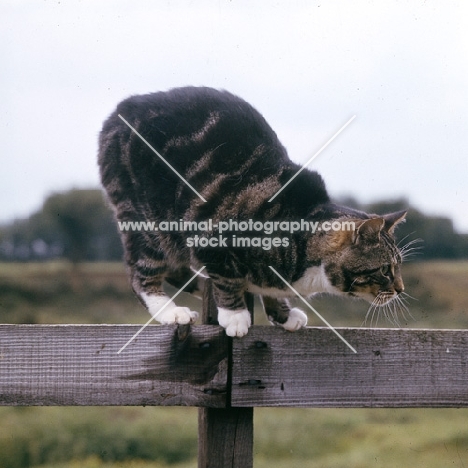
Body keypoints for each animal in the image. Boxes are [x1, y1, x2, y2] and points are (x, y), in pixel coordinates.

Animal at [98, 87, 410, 336]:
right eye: (385, 269)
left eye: (398, 266)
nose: (400, 289)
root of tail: (122, 108)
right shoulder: (213, 239)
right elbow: (227, 278)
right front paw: (235, 315)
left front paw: (282, 313)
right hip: (149, 219)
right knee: (141, 272)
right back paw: (170, 310)